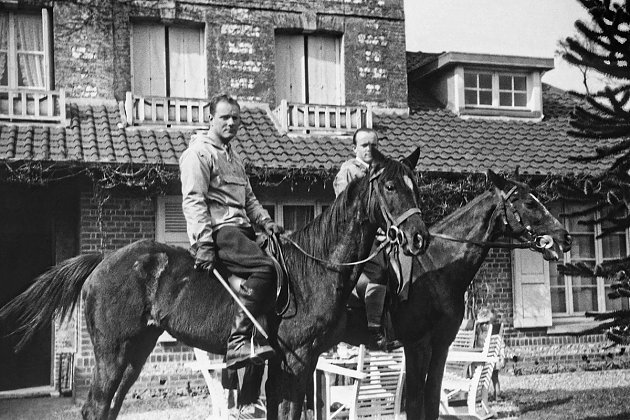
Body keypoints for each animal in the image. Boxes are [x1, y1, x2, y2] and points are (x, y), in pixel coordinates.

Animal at [0, 148, 430, 420]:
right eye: (390, 186)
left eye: (415, 184)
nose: (418, 237)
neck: (313, 267)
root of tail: (104, 261)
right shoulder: (295, 361)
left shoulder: (292, 365)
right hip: (112, 352)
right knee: (96, 407)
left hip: (135, 352)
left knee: (110, 406)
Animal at [340, 171, 572, 420]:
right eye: (529, 202)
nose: (565, 236)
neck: (436, 268)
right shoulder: (417, 346)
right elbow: (415, 403)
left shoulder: (441, 345)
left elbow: (432, 399)